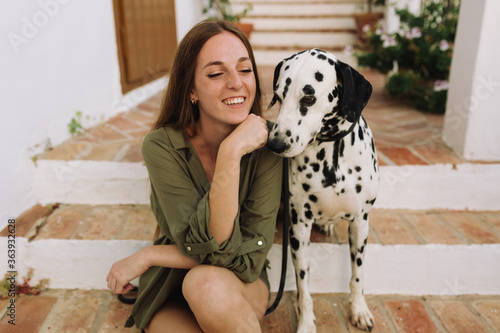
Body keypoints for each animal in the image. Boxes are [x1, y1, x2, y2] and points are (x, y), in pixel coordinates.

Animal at [268, 48, 376, 330]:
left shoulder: (361, 223)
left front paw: (359, 309)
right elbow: (303, 287)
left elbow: (358, 275)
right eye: (278, 96)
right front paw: (306, 323)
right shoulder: (298, 229)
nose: (274, 144)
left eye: (308, 97)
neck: (331, 156)